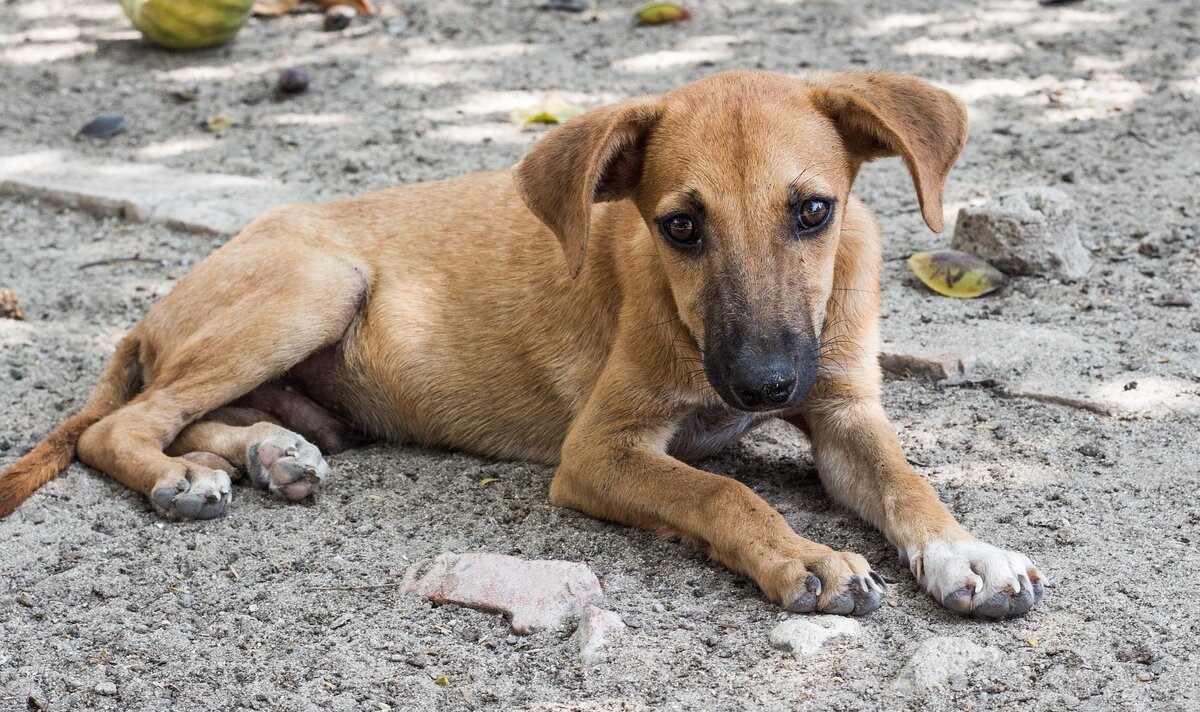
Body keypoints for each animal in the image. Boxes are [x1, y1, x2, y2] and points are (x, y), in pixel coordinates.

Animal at [0, 70, 1046, 614]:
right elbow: (721, 492)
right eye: (680, 227)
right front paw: (809, 559)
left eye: (814, 211)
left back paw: (271, 452)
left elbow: (909, 483)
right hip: (316, 284)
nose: (764, 385)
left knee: (200, 415)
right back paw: (185, 478)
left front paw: (968, 552)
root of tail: (149, 312)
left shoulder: (844, 412)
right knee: (123, 426)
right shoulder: (600, 451)